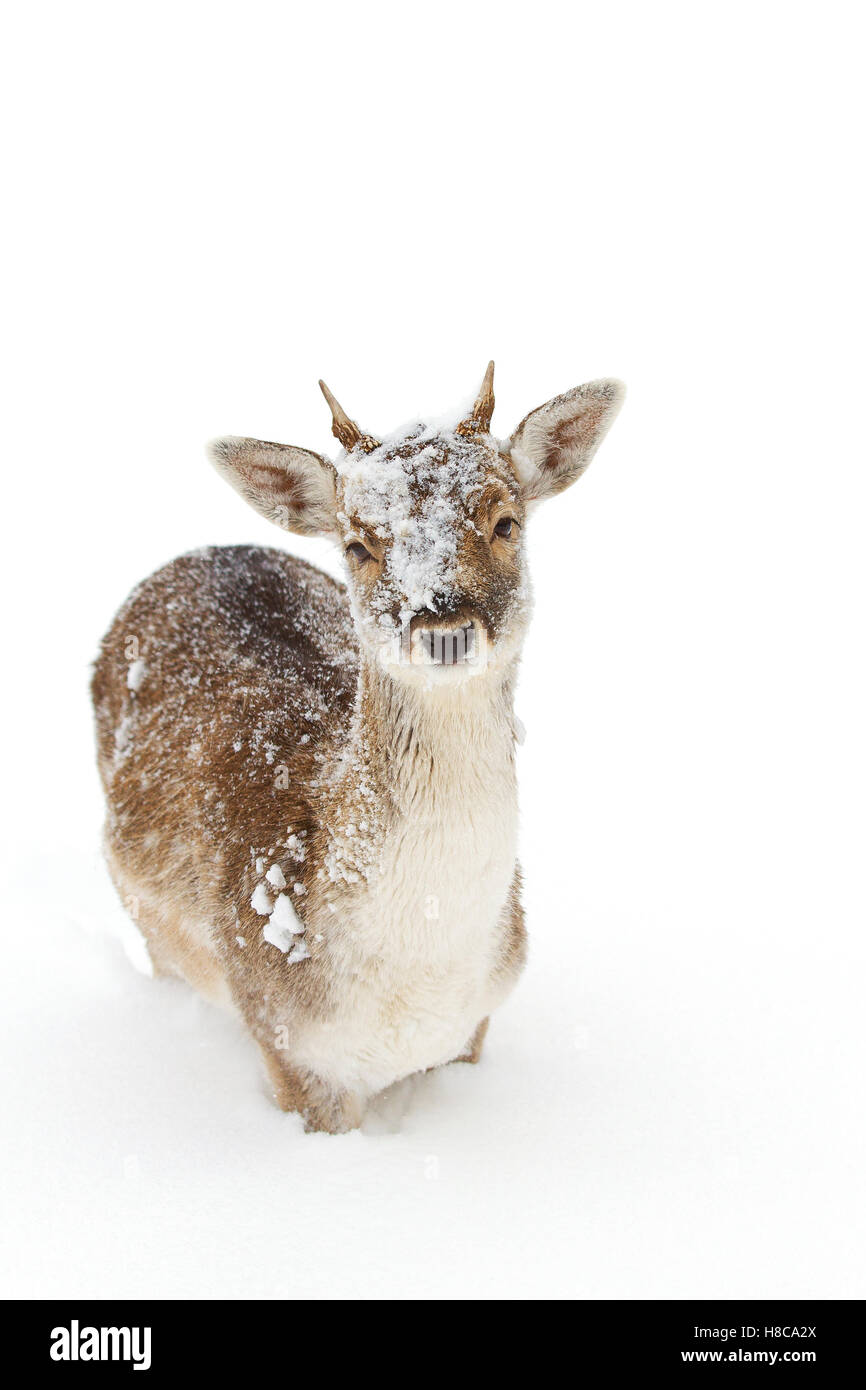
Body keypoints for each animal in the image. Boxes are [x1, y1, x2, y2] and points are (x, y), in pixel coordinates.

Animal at [93, 366, 622, 1128]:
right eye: (358, 545)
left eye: (505, 521)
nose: (445, 628)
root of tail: (204, 551)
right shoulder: (284, 1038)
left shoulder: (477, 1023)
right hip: (146, 918)